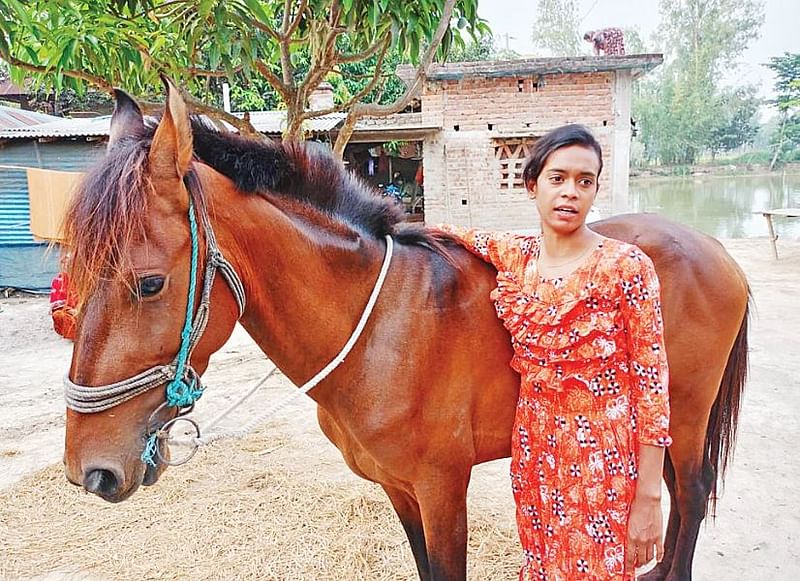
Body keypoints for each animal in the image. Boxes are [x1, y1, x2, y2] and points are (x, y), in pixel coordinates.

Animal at [62, 82, 752, 580]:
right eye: (73, 268)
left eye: (150, 283)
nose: (89, 472)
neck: (379, 334)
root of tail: (717, 250)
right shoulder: (398, 489)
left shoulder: (443, 489)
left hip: (682, 413)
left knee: (690, 496)